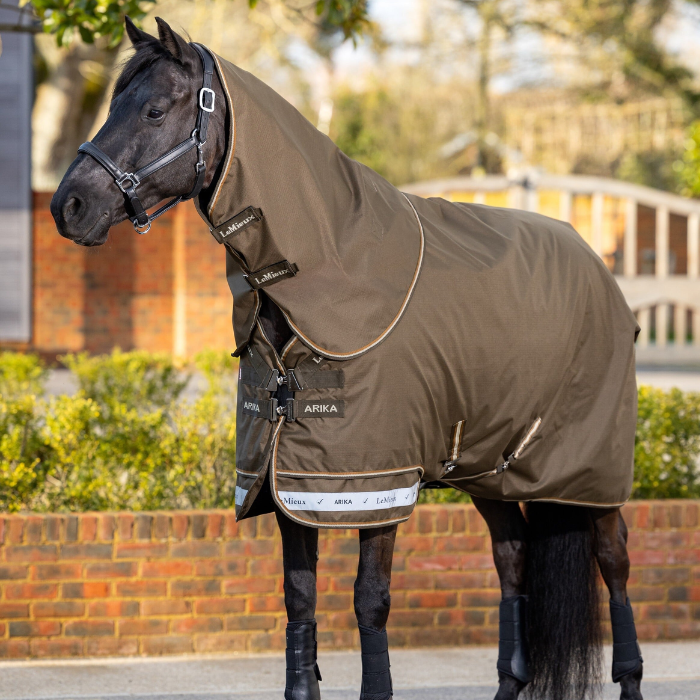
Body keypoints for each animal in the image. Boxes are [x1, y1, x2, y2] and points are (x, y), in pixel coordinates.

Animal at [51, 17, 644, 700]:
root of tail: (597, 265)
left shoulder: (377, 482)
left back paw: (630, 675)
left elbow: (370, 601)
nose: (67, 206)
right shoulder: (284, 479)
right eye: (112, 104)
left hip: (589, 471)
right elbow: (300, 600)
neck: (333, 270)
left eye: (153, 109)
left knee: (614, 560)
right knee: (513, 557)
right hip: (492, 466)